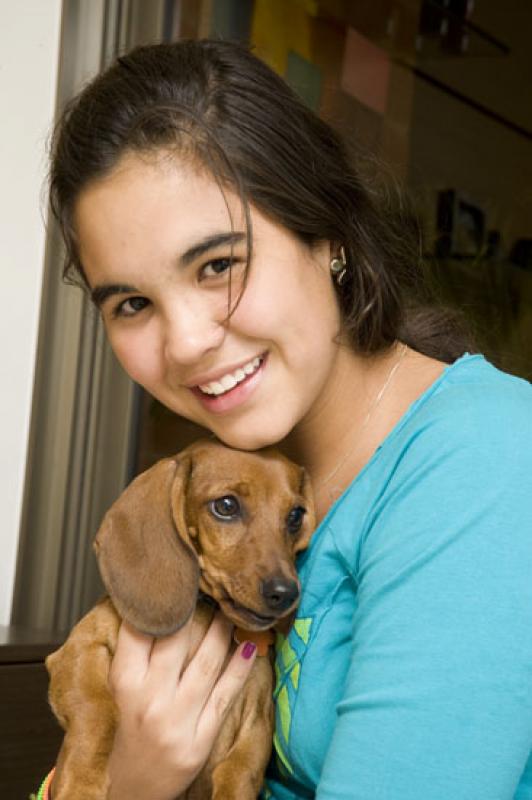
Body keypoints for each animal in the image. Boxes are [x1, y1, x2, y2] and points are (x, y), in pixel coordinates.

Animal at [46, 440, 316, 800]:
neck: (203, 613)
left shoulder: (257, 717)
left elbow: (239, 771)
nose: (285, 593)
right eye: (226, 506)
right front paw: (82, 783)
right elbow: (98, 709)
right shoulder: (80, 648)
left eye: (295, 516)